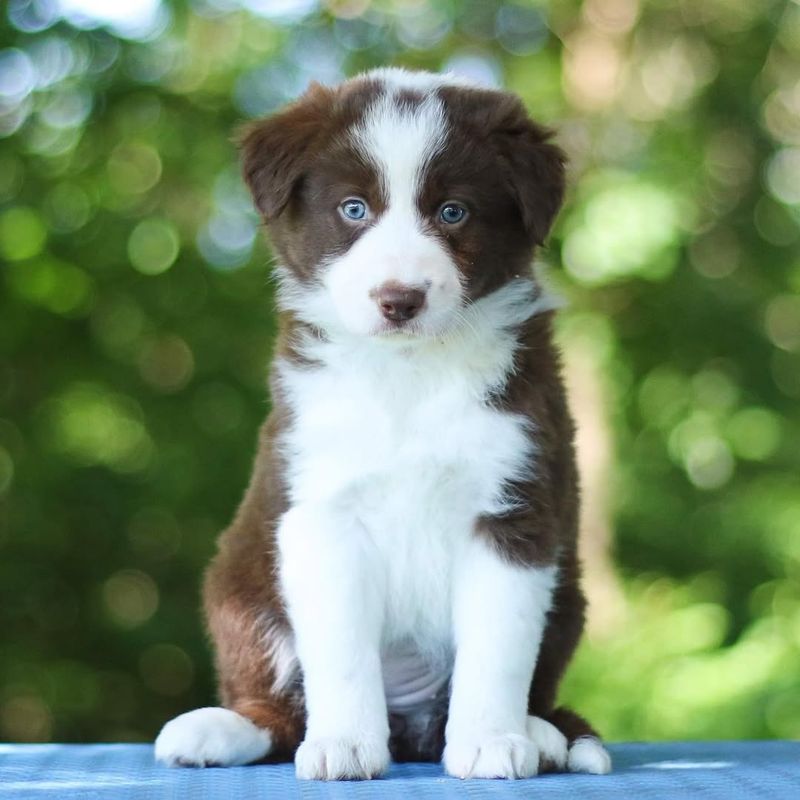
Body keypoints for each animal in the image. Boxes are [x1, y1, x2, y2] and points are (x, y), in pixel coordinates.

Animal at [153, 69, 608, 780]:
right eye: (353, 210)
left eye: (453, 212)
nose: (400, 299)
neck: (408, 373)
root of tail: (411, 725)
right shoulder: (322, 512)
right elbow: (340, 652)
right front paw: (344, 745)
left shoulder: (515, 511)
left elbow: (497, 649)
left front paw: (490, 740)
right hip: (238, 585)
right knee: (279, 705)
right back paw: (218, 729)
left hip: (569, 594)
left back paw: (539, 733)